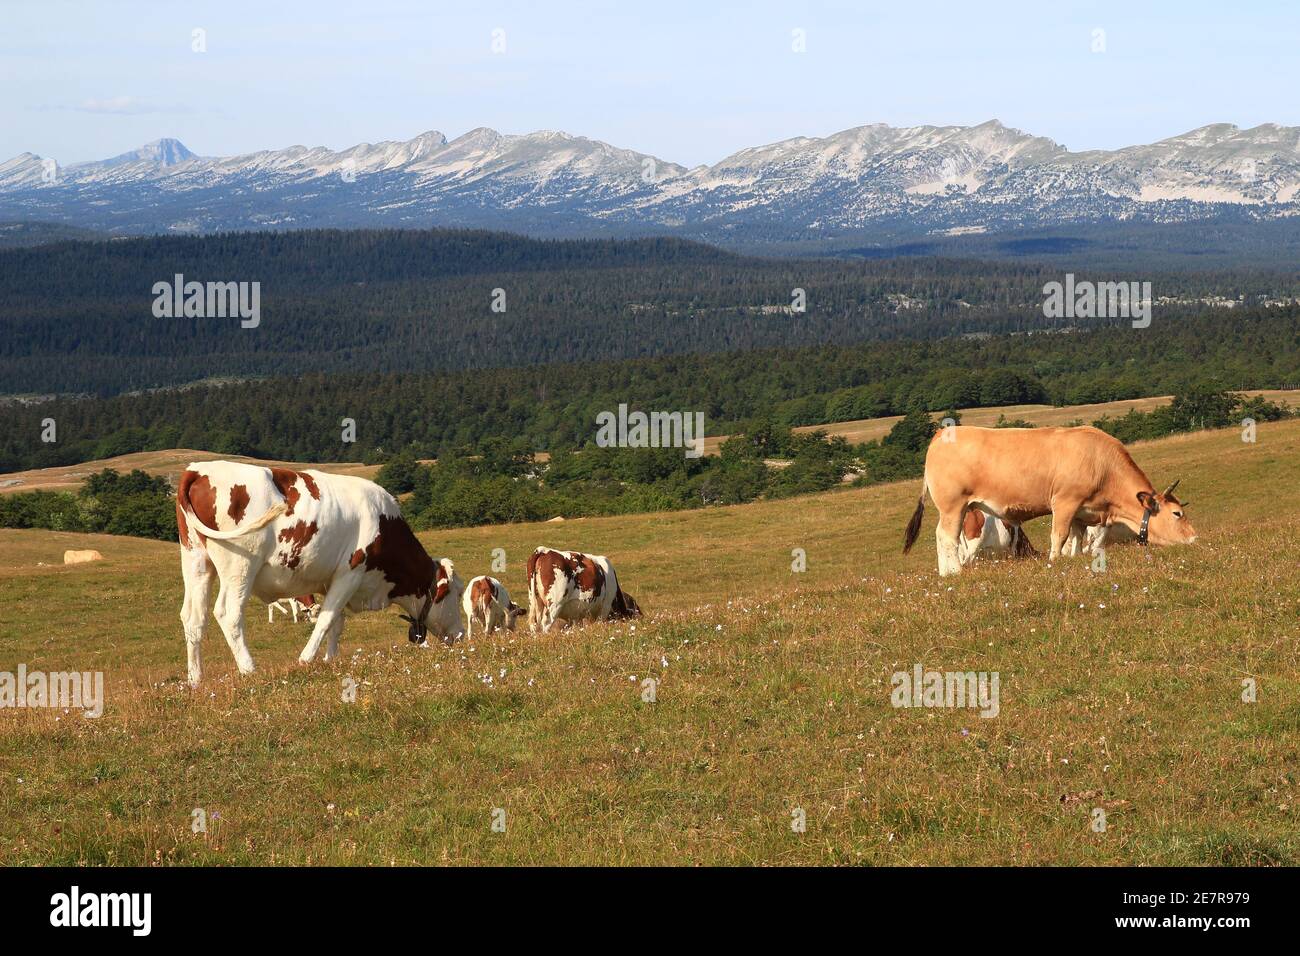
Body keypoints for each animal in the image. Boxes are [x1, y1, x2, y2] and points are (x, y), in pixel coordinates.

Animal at [177, 461, 463, 685]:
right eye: (457, 595)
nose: (461, 635)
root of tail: (199, 469)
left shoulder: (330, 581)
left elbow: (336, 622)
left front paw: (330, 660)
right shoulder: (351, 572)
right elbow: (326, 620)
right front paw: (306, 660)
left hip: (196, 561)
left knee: (193, 618)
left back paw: (195, 680)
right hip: (240, 565)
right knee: (228, 613)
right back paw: (250, 670)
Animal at [903, 425, 1196, 576]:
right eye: (1177, 513)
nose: (1194, 538)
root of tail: (942, 434)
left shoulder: (1083, 511)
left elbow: (1077, 538)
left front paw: (1075, 557)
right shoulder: (1065, 502)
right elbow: (1060, 535)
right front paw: (1055, 561)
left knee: (940, 535)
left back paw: (944, 574)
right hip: (953, 505)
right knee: (948, 538)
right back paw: (955, 572)